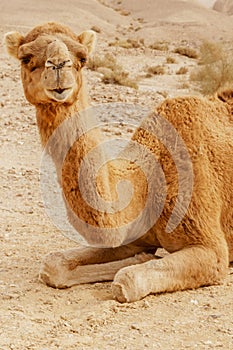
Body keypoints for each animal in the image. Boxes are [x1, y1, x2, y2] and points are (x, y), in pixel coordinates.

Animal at [3, 21, 233, 302]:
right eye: (26, 58)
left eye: (82, 58)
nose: (58, 65)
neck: (148, 181)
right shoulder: (132, 233)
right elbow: (53, 265)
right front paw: (141, 255)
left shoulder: (212, 248)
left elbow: (126, 281)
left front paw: (139, 261)